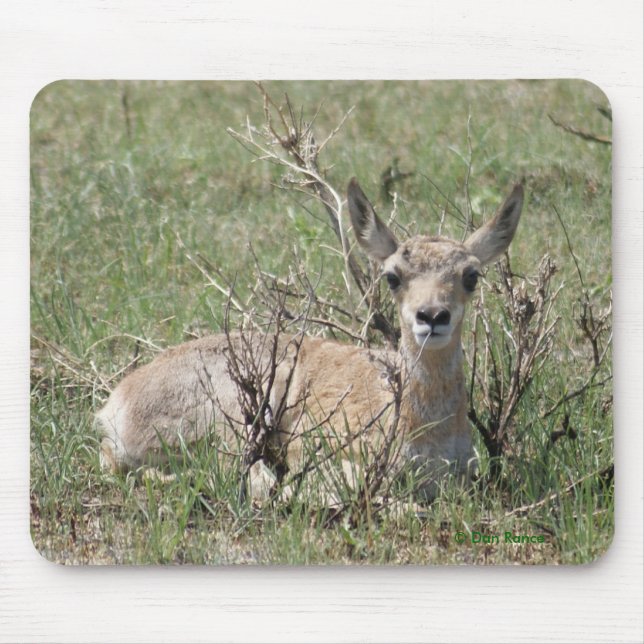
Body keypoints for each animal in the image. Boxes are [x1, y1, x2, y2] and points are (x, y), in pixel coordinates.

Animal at [97, 178, 523, 501]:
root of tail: (116, 403)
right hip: (237, 414)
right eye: (392, 275)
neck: (422, 429)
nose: (432, 316)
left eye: (471, 275)